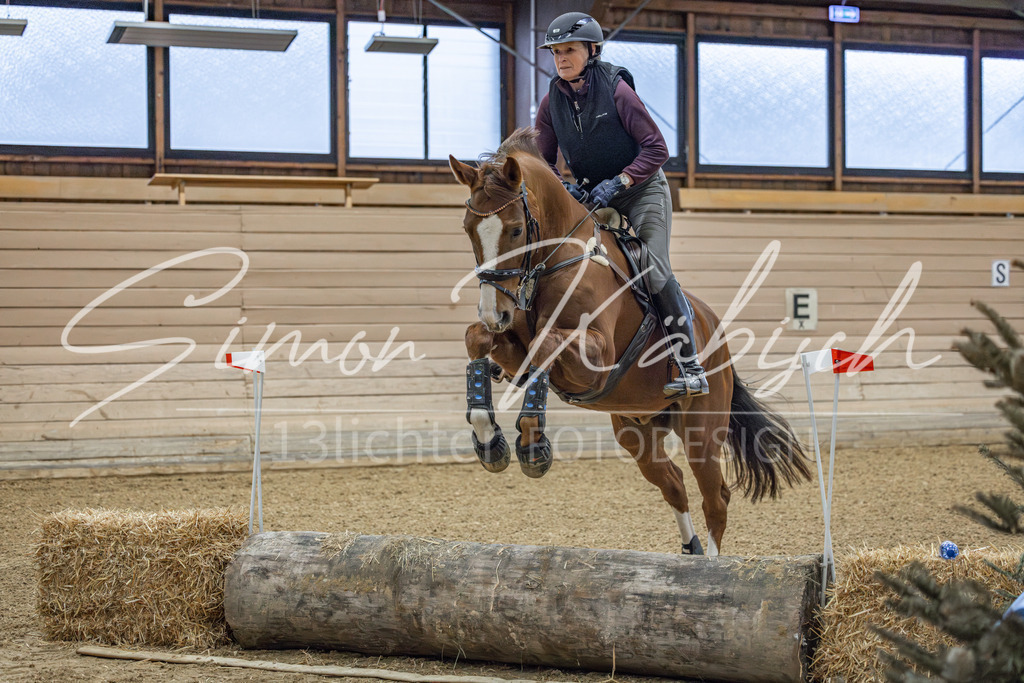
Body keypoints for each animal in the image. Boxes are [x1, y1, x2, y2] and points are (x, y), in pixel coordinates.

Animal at [449, 128, 811, 555]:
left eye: (517, 230)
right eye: (468, 229)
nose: (495, 313)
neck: (558, 260)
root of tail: (717, 335)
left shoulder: (595, 359)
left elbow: (546, 343)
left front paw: (533, 445)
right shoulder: (514, 348)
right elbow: (478, 338)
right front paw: (490, 439)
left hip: (701, 431)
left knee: (716, 497)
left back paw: (711, 565)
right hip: (637, 431)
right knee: (673, 483)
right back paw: (690, 551)